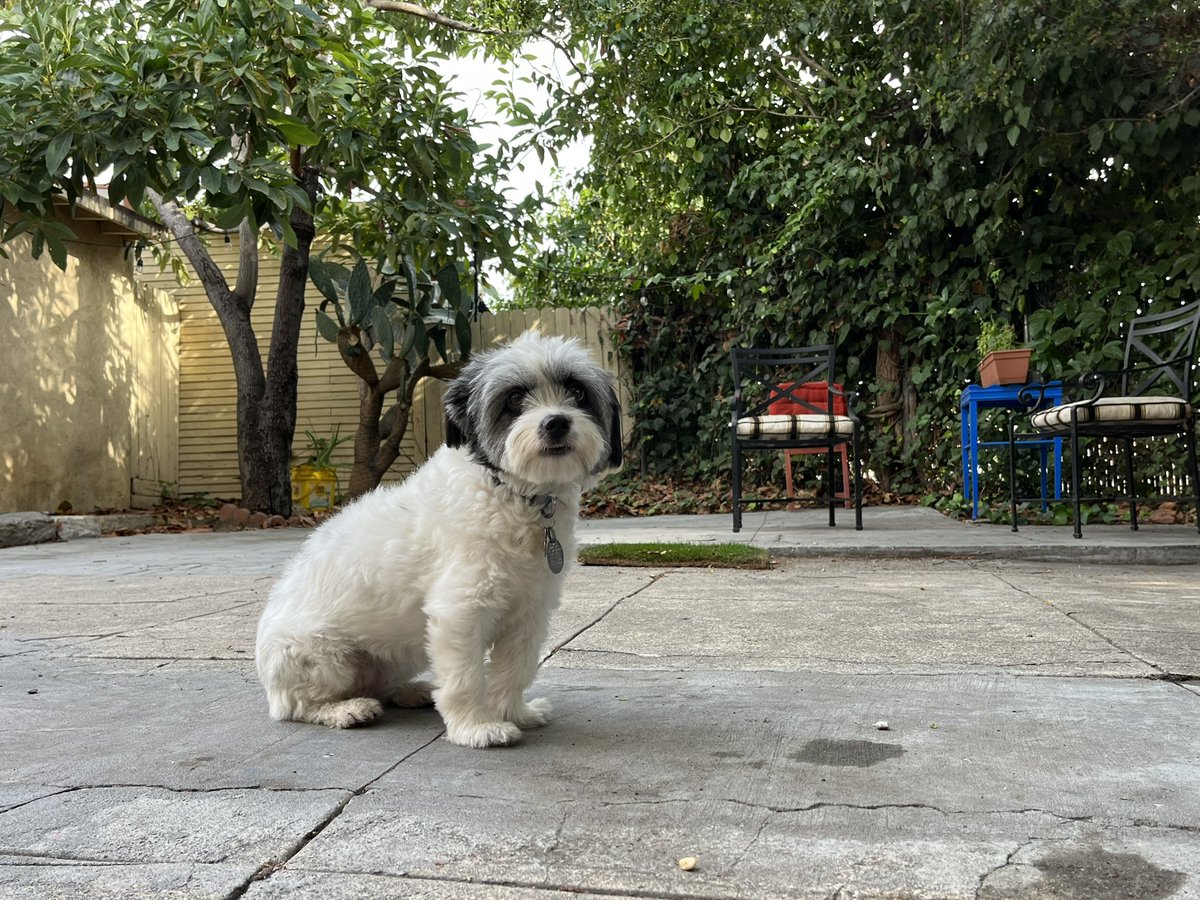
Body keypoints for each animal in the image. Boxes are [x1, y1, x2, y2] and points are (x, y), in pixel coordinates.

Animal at [256, 328, 624, 748]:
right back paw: (344, 709)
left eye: (578, 392)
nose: (556, 423)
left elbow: (514, 669)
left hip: (398, 653)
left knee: (378, 683)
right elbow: (465, 677)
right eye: (514, 398)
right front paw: (475, 727)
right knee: (296, 705)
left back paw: (409, 691)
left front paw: (515, 713)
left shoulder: (529, 612)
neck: (514, 494)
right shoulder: (461, 610)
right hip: (320, 656)